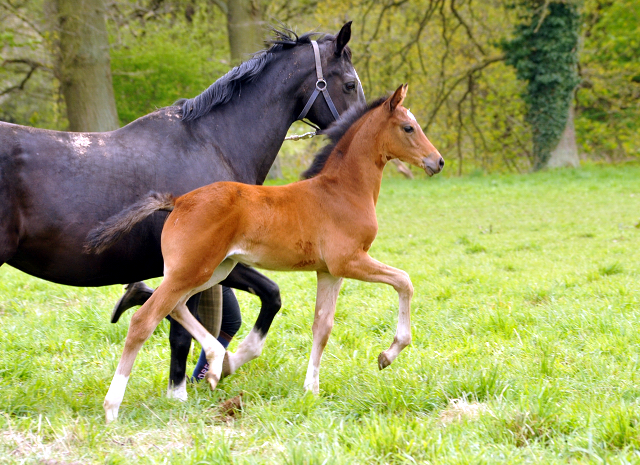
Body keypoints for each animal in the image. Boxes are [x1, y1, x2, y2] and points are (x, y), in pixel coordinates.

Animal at [86, 83, 444, 420]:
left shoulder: (329, 271)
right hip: (192, 270)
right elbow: (404, 281)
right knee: (144, 320)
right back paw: (112, 406)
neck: (342, 190)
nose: (437, 161)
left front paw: (311, 389)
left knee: (175, 308)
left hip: (211, 270)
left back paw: (217, 362)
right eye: (408, 127)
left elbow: (322, 326)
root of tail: (179, 200)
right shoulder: (350, 261)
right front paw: (388, 354)